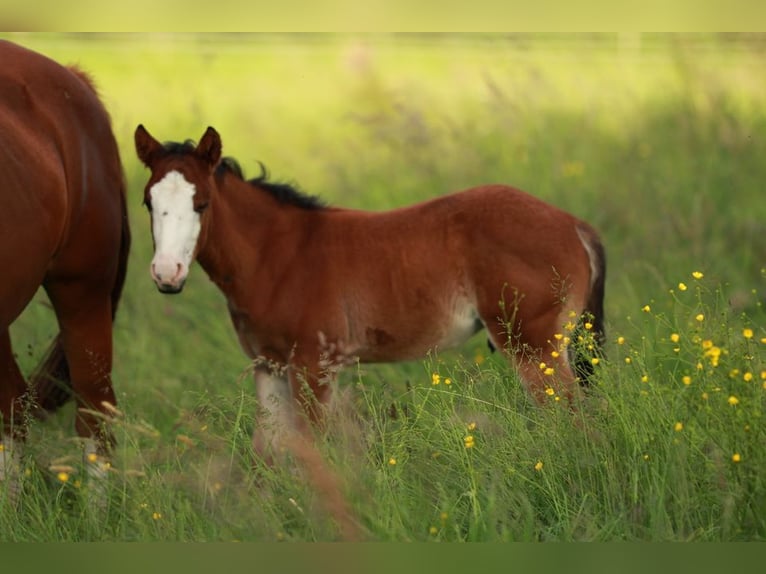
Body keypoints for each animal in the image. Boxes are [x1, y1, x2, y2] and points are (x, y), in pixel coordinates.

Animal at [136, 125, 608, 460]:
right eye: (147, 202)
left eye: (201, 203)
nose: (167, 274)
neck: (277, 256)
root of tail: (573, 224)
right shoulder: (268, 366)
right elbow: (270, 452)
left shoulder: (314, 366)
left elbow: (315, 448)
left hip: (534, 346)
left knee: (573, 420)